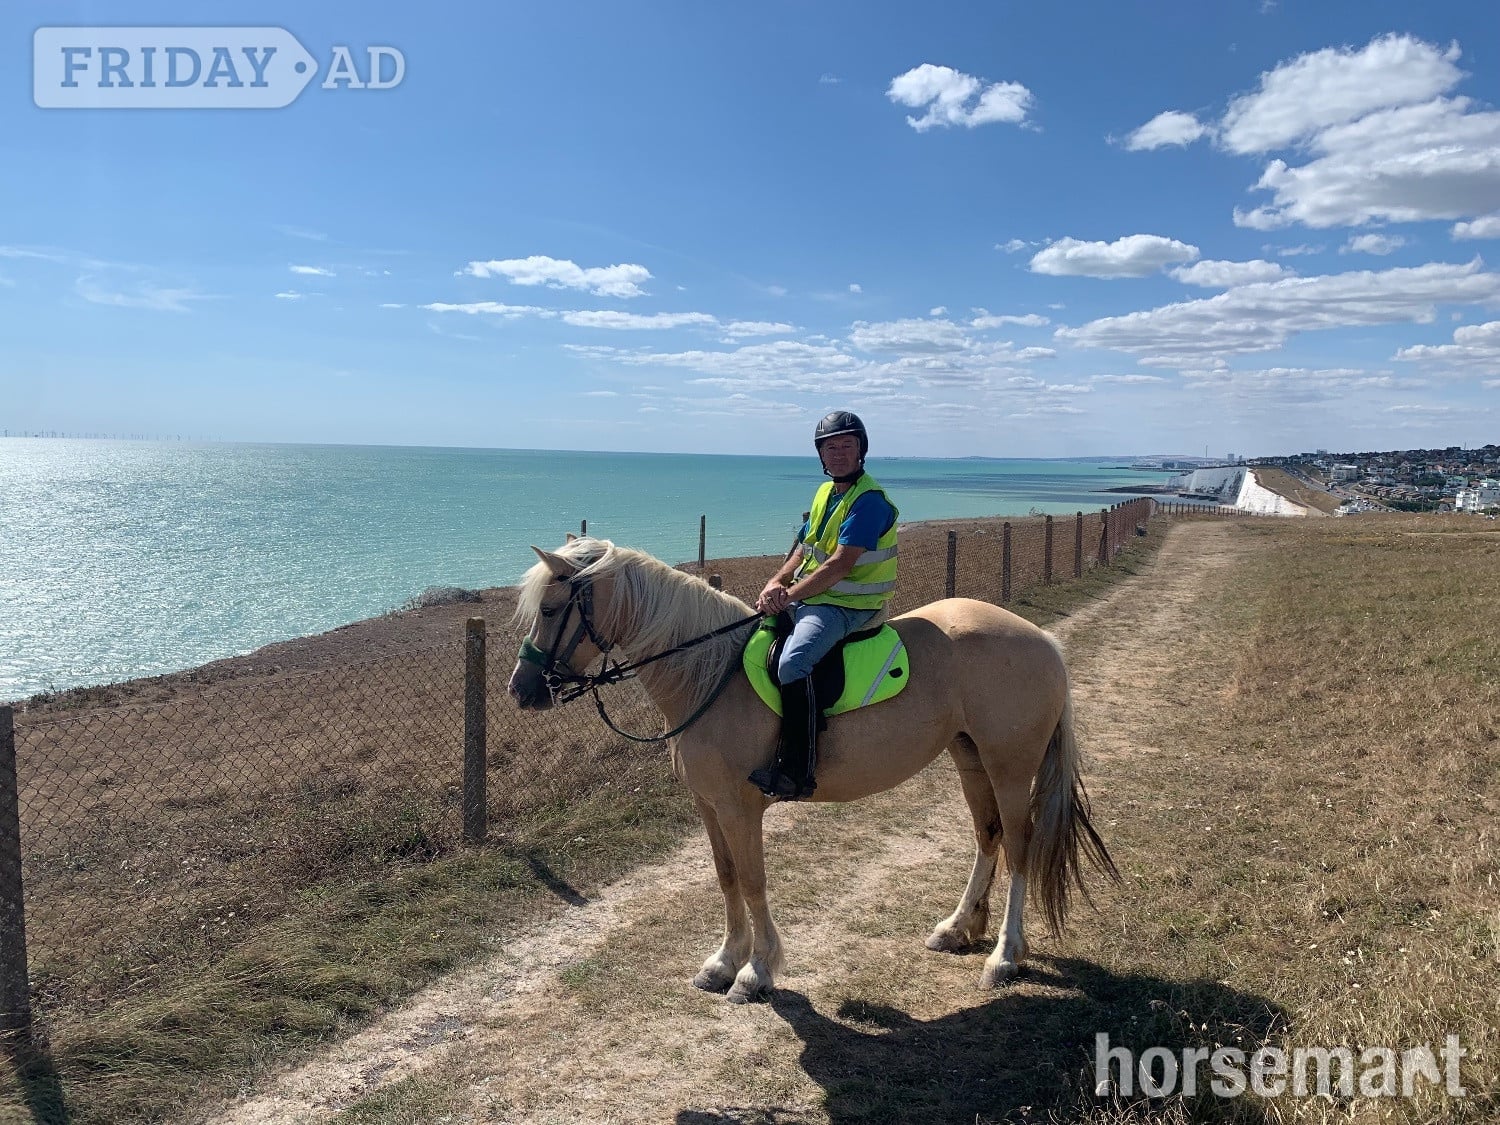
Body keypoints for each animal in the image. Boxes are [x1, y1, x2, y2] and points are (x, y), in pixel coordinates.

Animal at [507, 536, 1119, 1004]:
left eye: (550, 610)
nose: (521, 691)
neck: (710, 675)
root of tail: (1042, 640)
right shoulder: (708, 804)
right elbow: (726, 877)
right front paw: (723, 961)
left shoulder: (738, 807)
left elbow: (752, 880)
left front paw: (756, 971)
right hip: (969, 758)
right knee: (987, 837)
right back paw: (958, 928)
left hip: (1010, 767)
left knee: (1019, 846)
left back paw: (1004, 955)